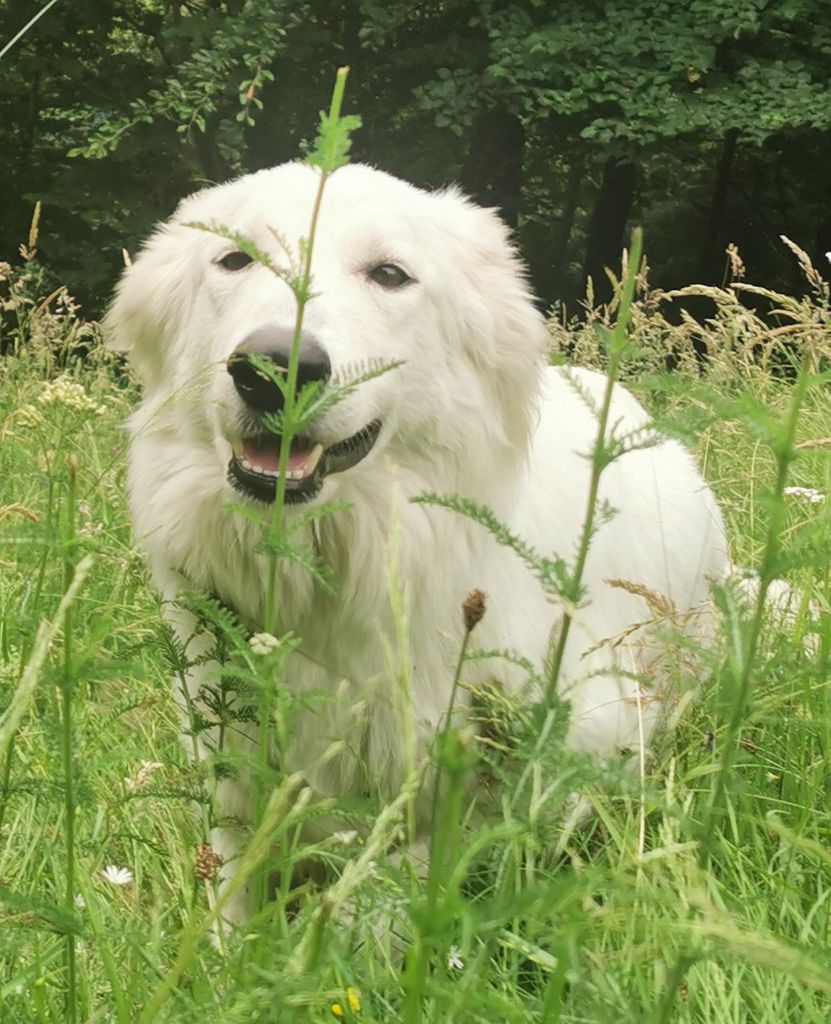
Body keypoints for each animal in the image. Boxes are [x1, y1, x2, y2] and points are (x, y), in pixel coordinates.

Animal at [105, 159, 728, 921]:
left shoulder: (577, 757)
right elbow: (232, 898)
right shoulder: (231, 766)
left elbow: (383, 892)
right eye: (234, 259)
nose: (273, 368)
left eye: (389, 274)